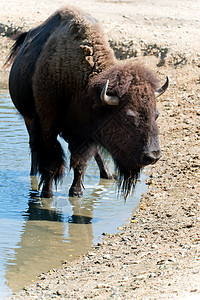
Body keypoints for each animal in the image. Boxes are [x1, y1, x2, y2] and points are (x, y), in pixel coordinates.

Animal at [7, 5, 168, 198]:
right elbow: (51, 162)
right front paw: (47, 193)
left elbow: (80, 162)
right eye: (127, 117)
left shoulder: (85, 134)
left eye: (156, 115)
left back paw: (108, 174)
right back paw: (33, 173)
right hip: (28, 118)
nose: (153, 156)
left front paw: (76, 192)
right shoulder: (47, 126)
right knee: (33, 146)